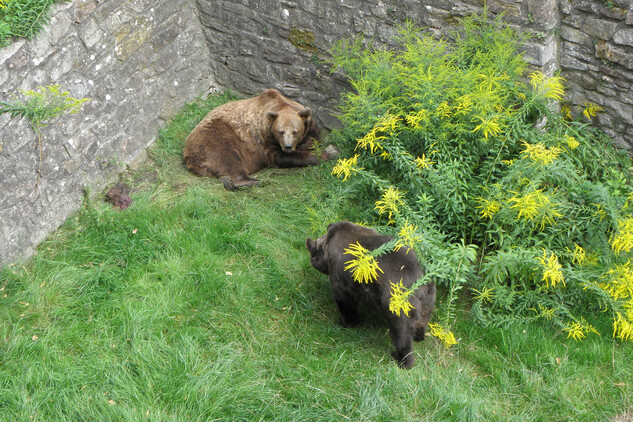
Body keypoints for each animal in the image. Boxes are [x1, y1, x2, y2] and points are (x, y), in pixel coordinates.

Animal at [183, 89, 320, 190]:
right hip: (215, 135)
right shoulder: (265, 139)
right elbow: (278, 157)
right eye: (280, 132)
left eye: (295, 131)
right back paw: (253, 181)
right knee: (226, 157)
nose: (288, 146)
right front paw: (321, 156)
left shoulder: (309, 125)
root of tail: (186, 152)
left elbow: (313, 138)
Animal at [304, 221, 434, 370]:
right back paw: (419, 336)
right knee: (422, 323)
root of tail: (421, 286)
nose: (311, 259)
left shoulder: (342, 287)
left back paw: (402, 360)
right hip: (427, 306)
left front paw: (347, 323)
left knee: (403, 338)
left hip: (399, 310)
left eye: (313, 252)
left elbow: (346, 306)